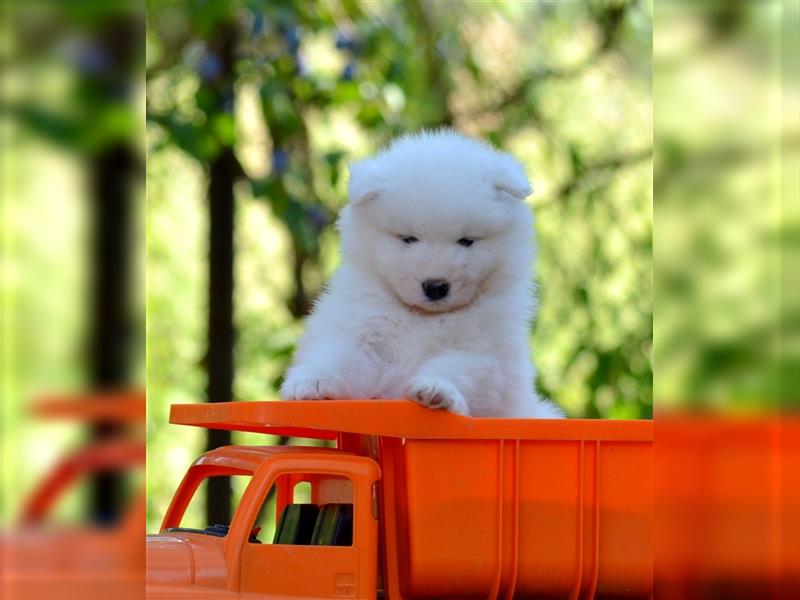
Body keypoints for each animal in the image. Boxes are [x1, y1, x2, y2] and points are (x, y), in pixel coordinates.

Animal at [282, 130, 564, 418]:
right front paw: (312, 382)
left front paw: (437, 390)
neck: (423, 318)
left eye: (466, 241)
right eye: (409, 239)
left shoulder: (485, 352)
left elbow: (457, 368)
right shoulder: (363, 333)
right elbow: (340, 357)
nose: (436, 286)